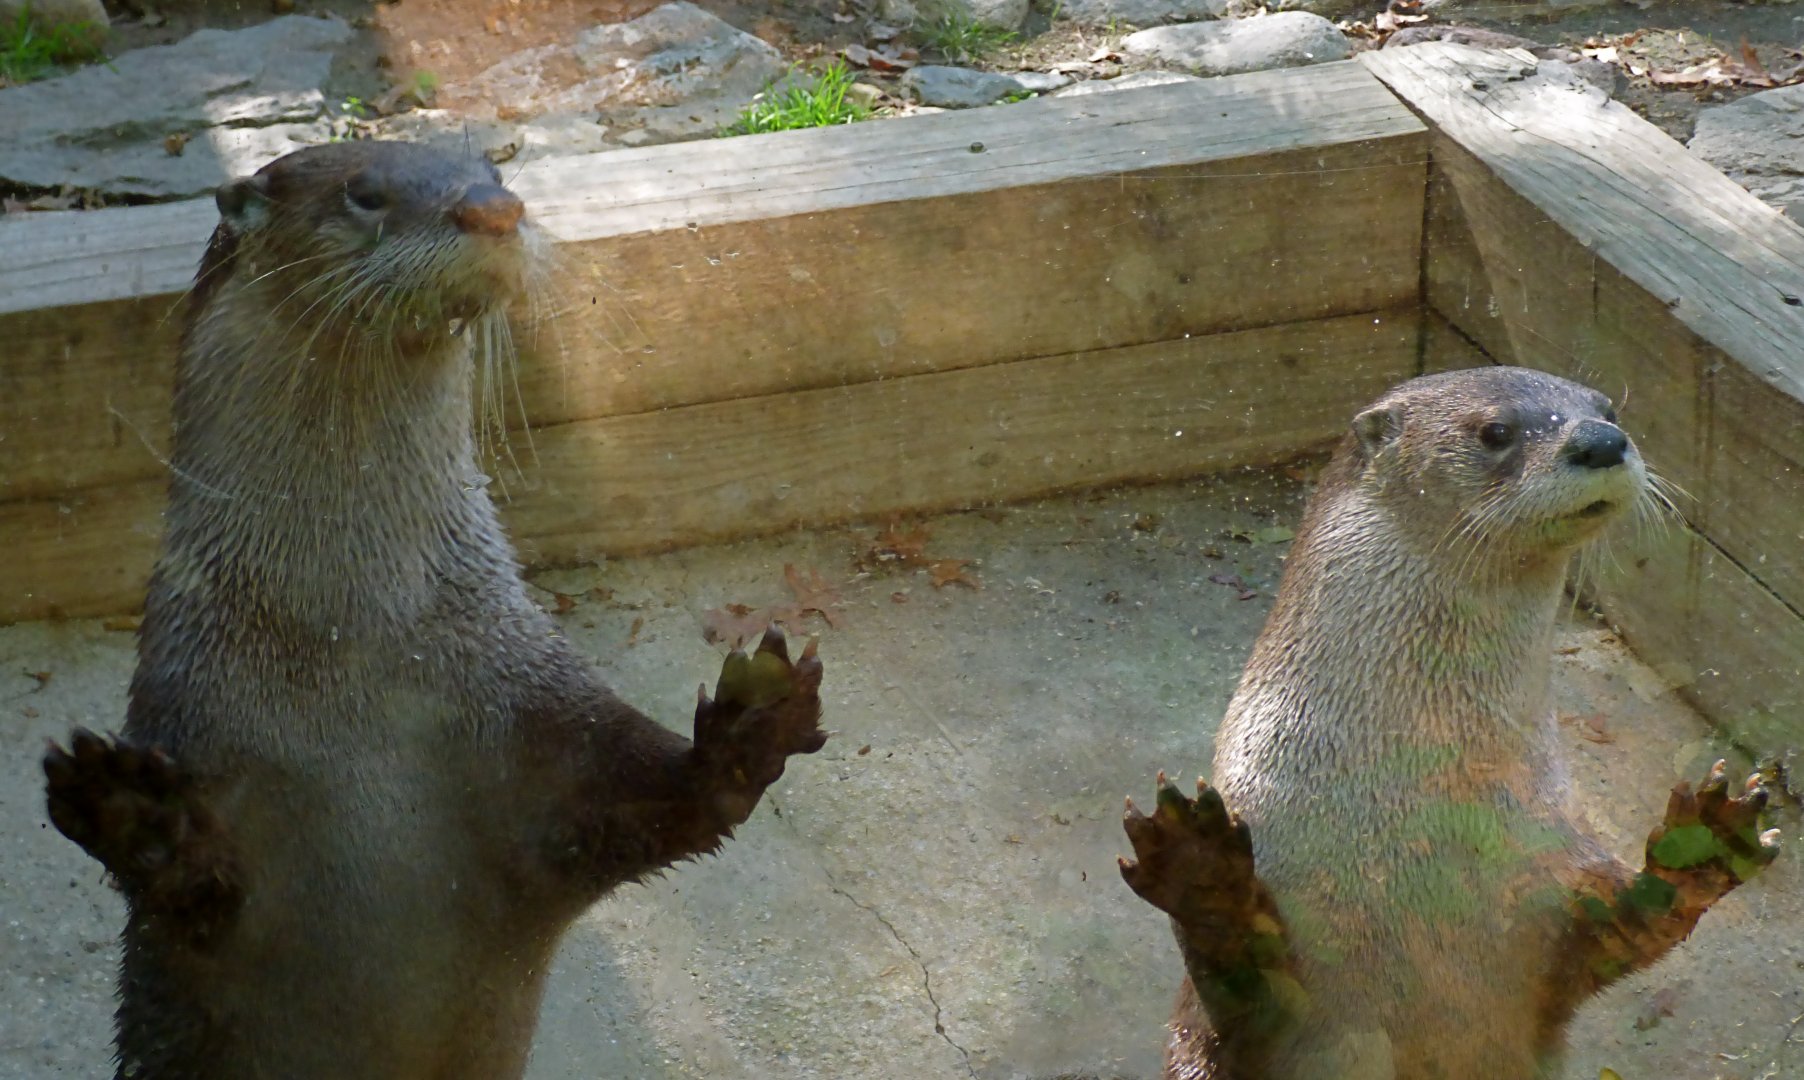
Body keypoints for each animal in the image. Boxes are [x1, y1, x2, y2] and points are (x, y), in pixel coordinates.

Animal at [41, 141, 828, 1080]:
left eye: (492, 164)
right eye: (365, 193)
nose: (495, 209)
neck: (357, 652)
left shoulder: (537, 703)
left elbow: (675, 806)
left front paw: (755, 717)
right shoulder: (186, 711)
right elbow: (185, 893)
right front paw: (130, 808)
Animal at [1118, 367, 1778, 1079]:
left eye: (1609, 410)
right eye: (1496, 431)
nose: (1603, 441)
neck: (1424, 811)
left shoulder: (1554, 879)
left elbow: (1627, 929)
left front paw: (1707, 841)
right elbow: (1236, 988)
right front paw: (1201, 871)